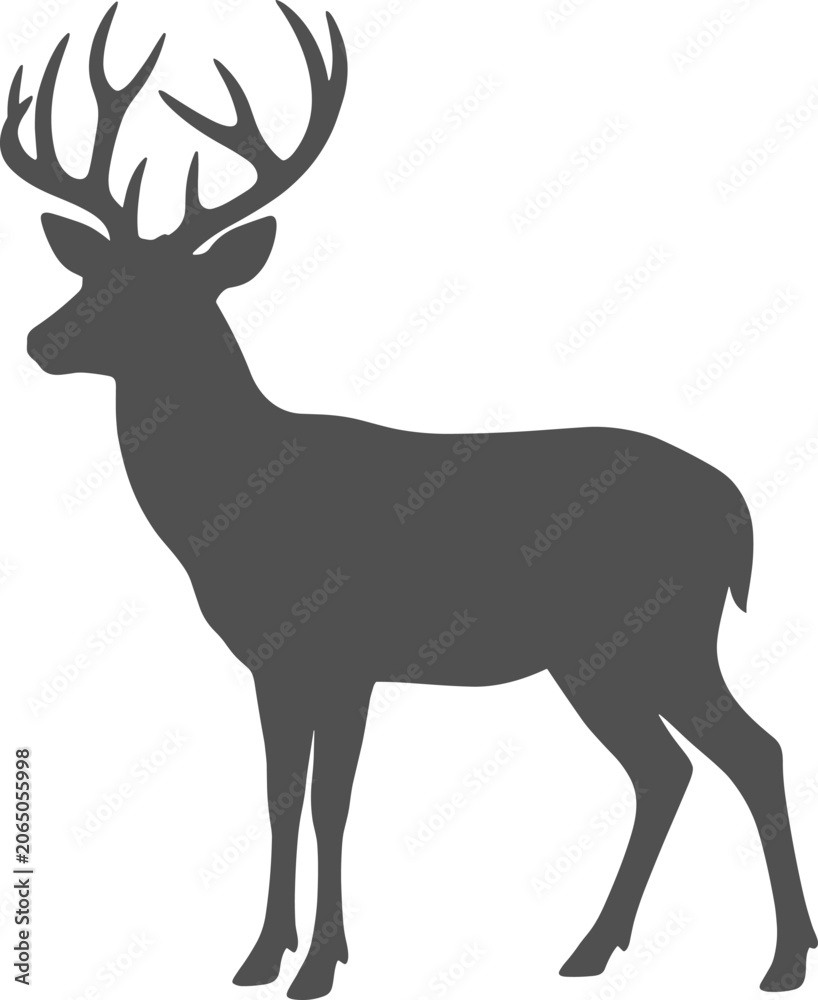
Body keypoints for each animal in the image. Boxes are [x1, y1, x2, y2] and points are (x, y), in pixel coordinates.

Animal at [3, 2, 815, 996]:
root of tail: (739, 509)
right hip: (604, 656)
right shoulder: (275, 662)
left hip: (659, 633)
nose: (40, 340)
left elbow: (331, 803)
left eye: (169, 290)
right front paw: (261, 956)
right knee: (669, 769)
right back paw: (595, 949)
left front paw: (319, 963)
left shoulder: (346, 649)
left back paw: (780, 958)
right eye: (92, 272)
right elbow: (277, 797)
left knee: (748, 752)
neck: (235, 504)